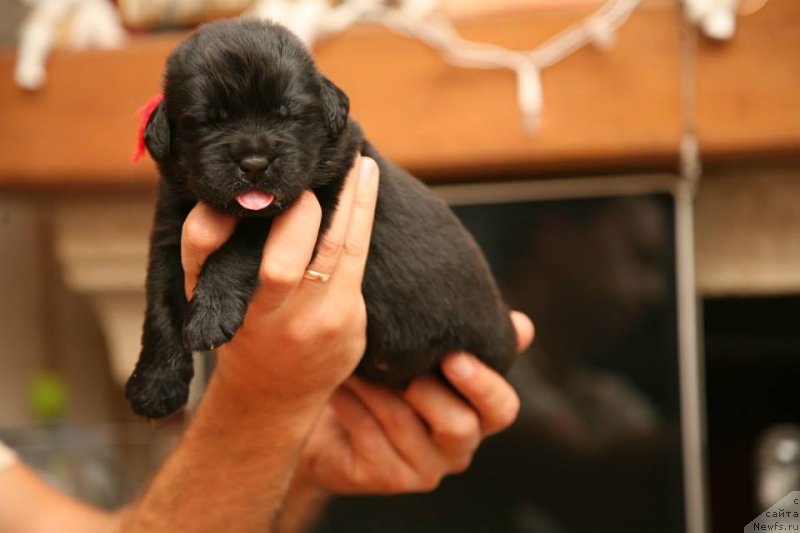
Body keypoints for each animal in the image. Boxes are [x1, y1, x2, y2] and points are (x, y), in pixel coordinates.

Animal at [125, 17, 512, 420]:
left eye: (287, 114)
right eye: (206, 122)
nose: (254, 163)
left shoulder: (317, 197)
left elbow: (240, 246)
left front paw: (210, 314)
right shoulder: (169, 234)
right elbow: (161, 307)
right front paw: (155, 385)